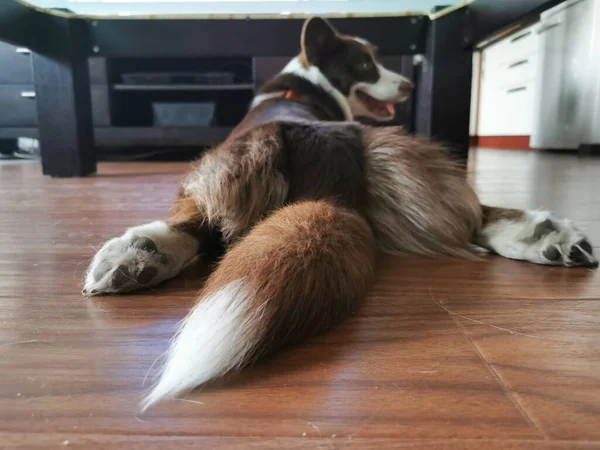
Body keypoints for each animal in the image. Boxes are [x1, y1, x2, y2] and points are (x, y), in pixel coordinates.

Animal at [79, 18, 596, 412]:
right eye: (366, 64)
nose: (409, 83)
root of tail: (329, 172)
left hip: (213, 168)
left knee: (196, 221)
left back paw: (140, 248)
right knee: (475, 217)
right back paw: (543, 236)